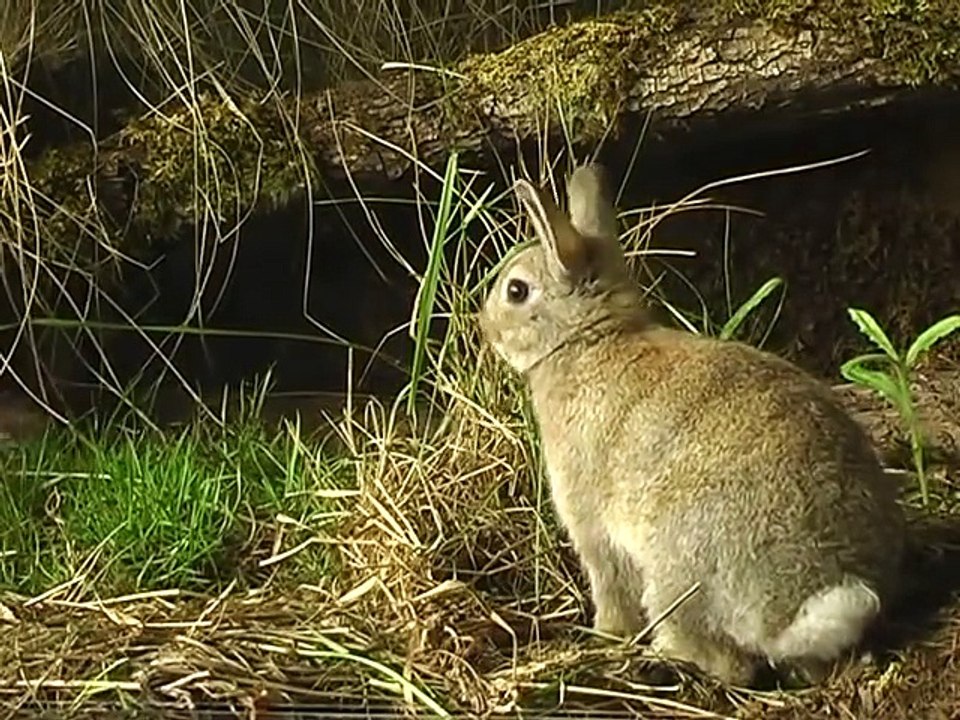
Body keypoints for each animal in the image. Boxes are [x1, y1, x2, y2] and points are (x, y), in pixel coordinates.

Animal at [478, 163, 905, 686]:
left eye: (516, 291)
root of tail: (795, 611)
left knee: (726, 662)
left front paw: (603, 636)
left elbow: (609, 586)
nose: (484, 326)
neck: (588, 339)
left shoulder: (592, 525)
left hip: (676, 570)